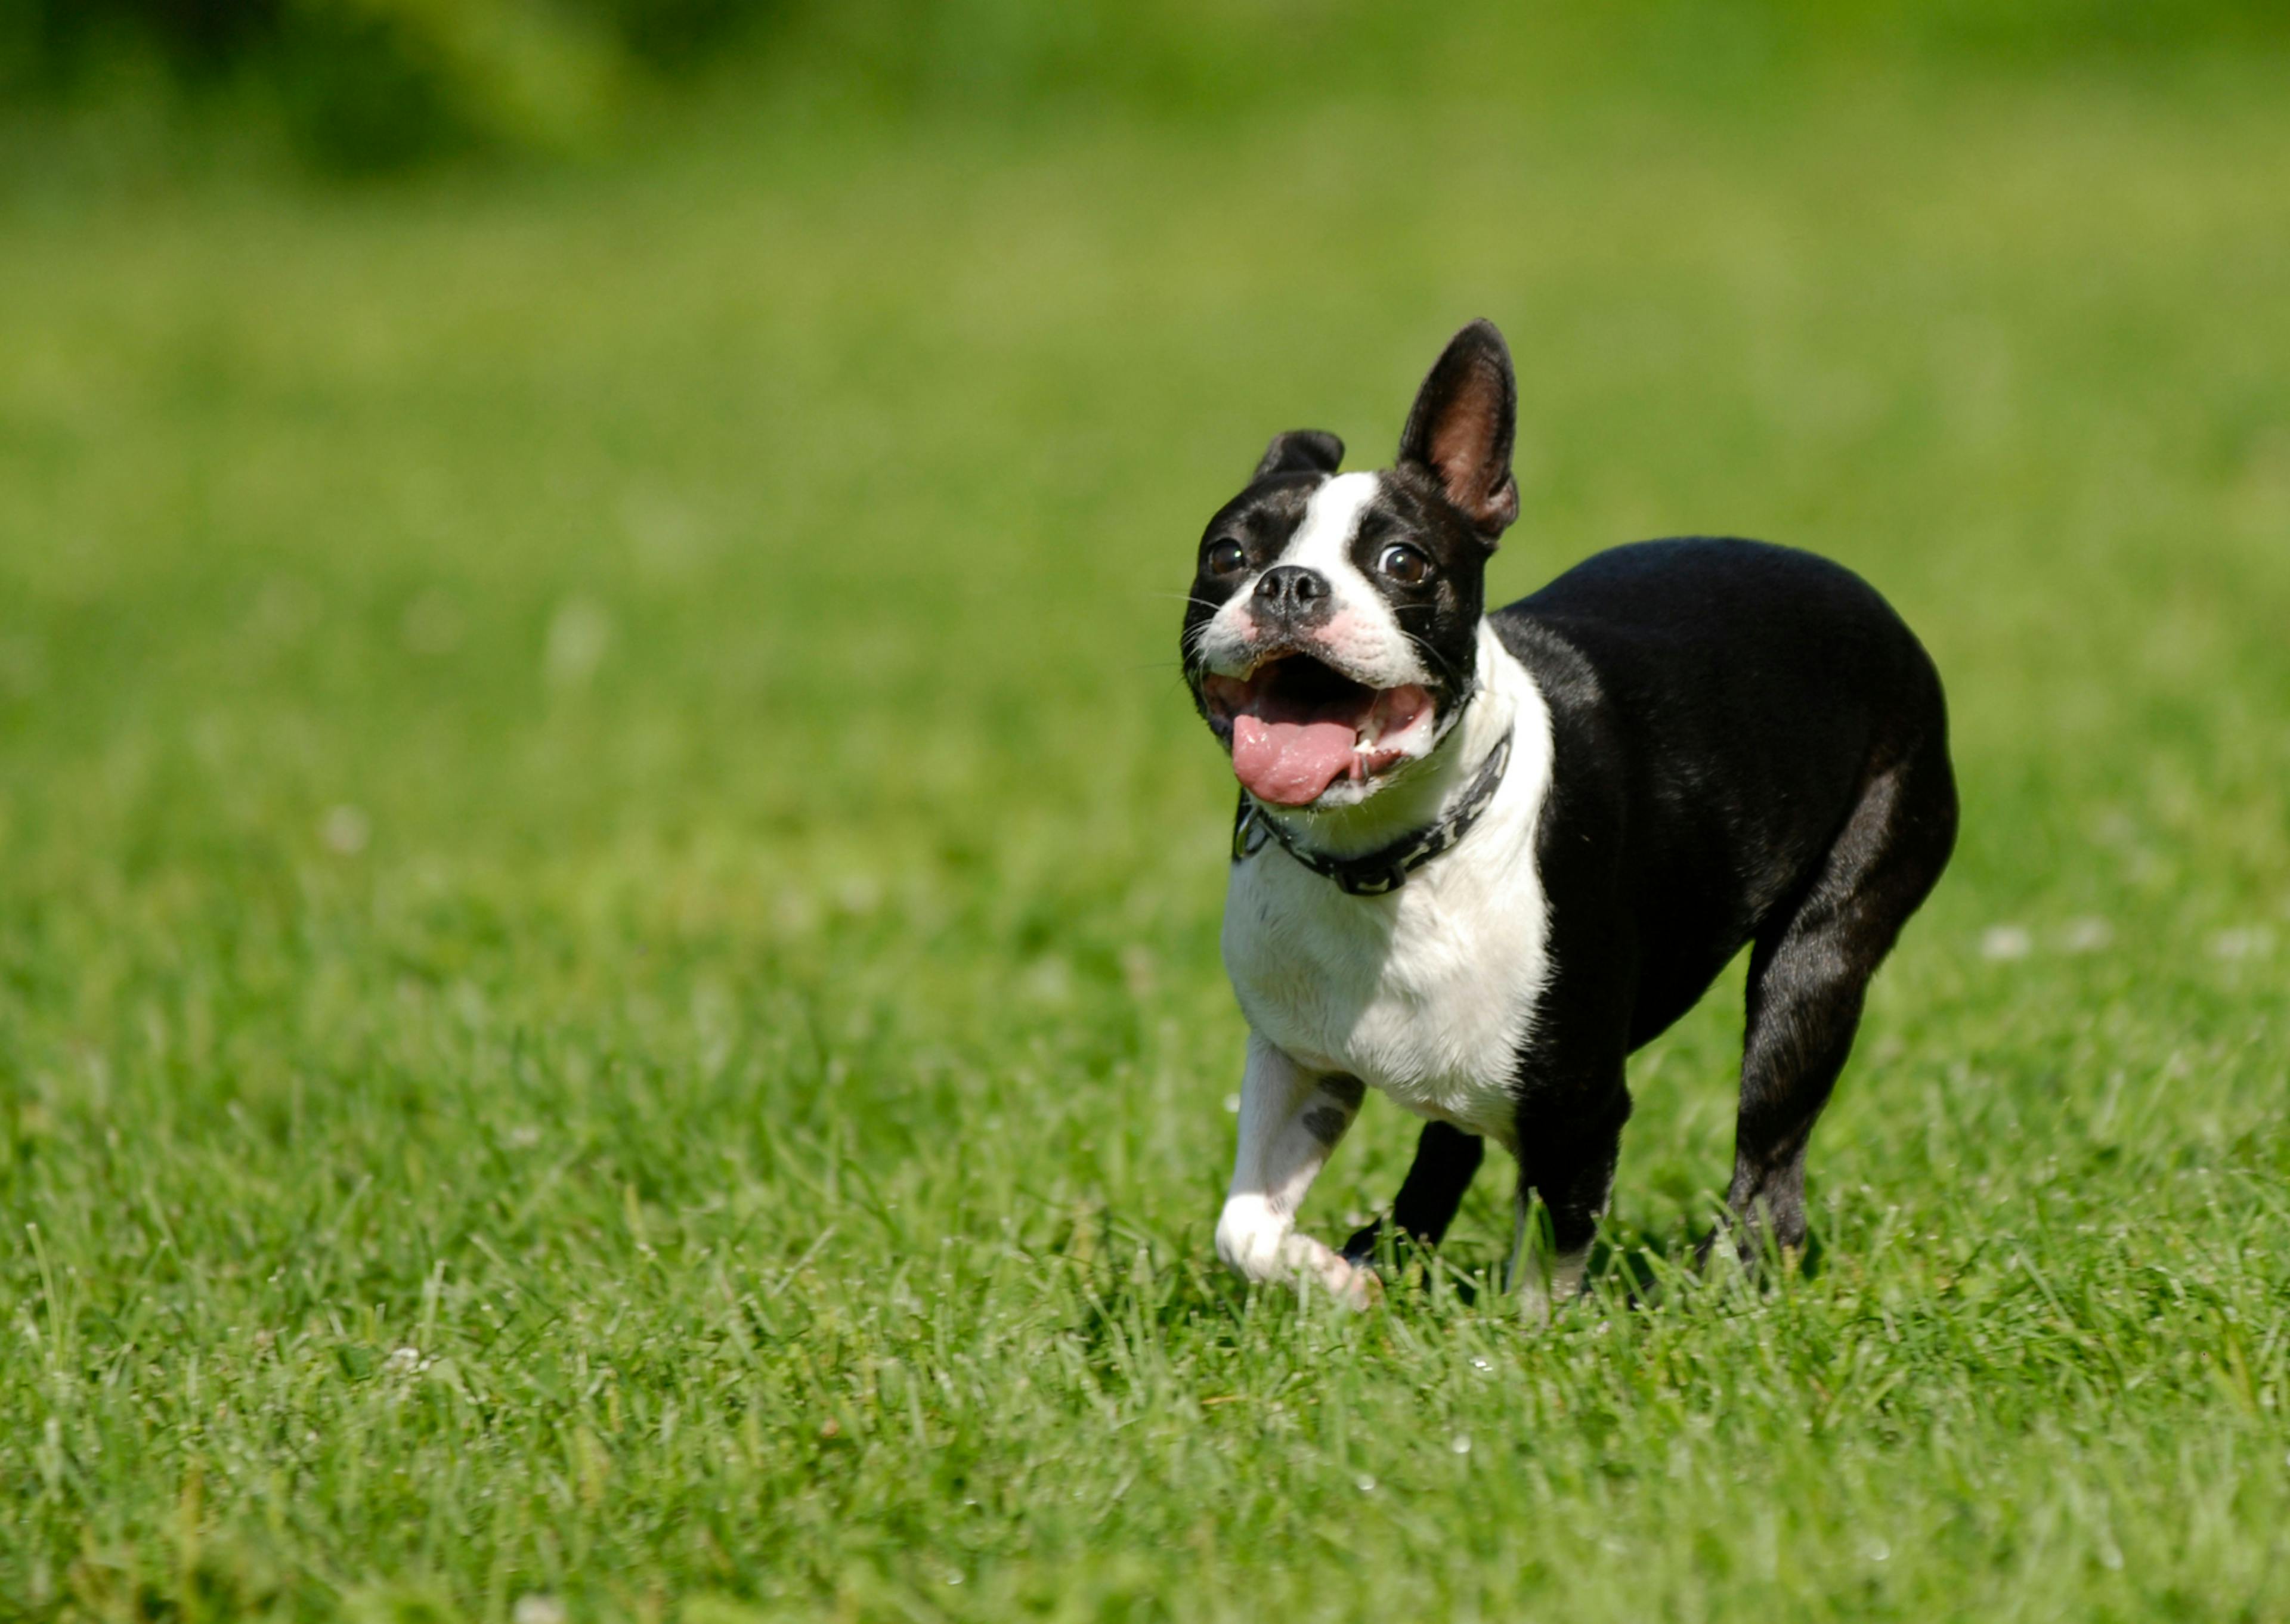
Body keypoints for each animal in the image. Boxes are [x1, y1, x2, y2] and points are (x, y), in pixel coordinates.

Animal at [1181, 323, 1951, 1310]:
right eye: (1227, 555)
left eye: (1404, 563)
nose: (1288, 585)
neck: (1387, 859)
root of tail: (1865, 597)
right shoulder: (1297, 1058)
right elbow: (1244, 1225)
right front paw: (1333, 1282)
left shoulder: (1580, 1111)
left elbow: (1543, 1280)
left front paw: (1520, 1339)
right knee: (1450, 1140)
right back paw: (1382, 1253)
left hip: (1819, 962)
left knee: (1770, 1159)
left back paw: (1728, 1284)